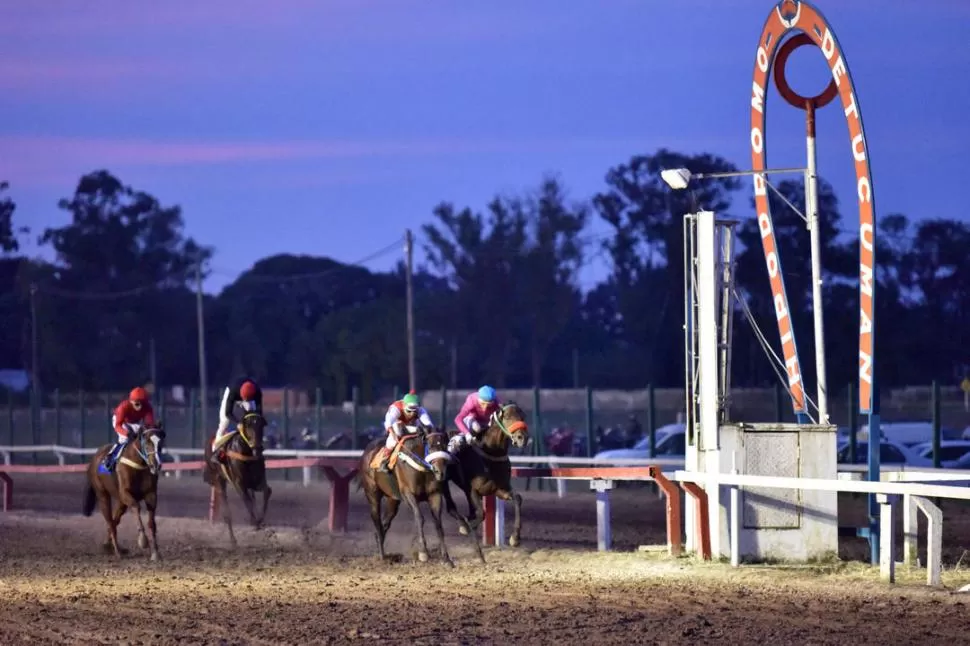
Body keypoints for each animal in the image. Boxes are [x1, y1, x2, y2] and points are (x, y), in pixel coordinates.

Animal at [83, 426, 168, 560]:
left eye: (160, 443)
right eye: (147, 442)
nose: (156, 465)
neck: (138, 465)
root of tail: (95, 458)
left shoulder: (151, 495)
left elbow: (152, 523)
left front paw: (155, 553)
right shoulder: (125, 493)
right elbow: (137, 507)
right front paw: (143, 541)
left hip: (121, 502)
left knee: (114, 521)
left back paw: (109, 546)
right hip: (102, 495)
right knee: (110, 521)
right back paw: (117, 551)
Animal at [202, 412, 272, 544]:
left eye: (261, 426)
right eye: (248, 426)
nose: (257, 449)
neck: (247, 453)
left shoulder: (257, 481)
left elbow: (266, 492)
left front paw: (260, 520)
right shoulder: (238, 483)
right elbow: (246, 500)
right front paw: (255, 523)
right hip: (219, 480)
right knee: (227, 512)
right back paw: (233, 540)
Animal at [358, 422, 482, 564]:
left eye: (445, 445)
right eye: (431, 445)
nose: (440, 472)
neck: (421, 469)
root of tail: (367, 452)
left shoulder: (434, 494)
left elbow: (437, 522)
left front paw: (446, 558)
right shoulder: (408, 494)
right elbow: (419, 517)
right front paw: (423, 552)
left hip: (392, 499)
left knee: (385, 523)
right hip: (372, 494)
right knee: (377, 521)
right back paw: (382, 557)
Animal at [446, 404, 528, 548]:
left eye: (522, 416)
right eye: (507, 417)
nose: (522, 438)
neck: (492, 453)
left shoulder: (499, 489)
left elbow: (517, 499)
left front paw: (515, 537)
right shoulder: (474, 490)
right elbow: (482, 513)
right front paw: (469, 526)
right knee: (450, 505)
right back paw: (463, 524)